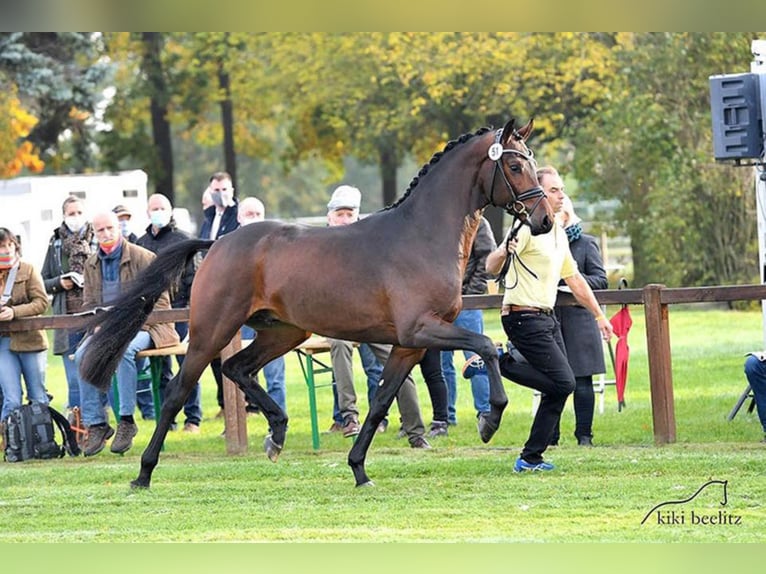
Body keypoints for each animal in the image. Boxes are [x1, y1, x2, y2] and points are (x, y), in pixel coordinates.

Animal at [81, 119, 556, 488]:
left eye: (533, 162)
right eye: (515, 164)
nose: (545, 220)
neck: (423, 235)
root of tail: (216, 243)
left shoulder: (409, 344)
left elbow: (382, 400)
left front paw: (359, 469)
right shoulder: (421, 328)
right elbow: (487, 346)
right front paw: (489, 422)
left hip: (285, 332)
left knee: (238, 368)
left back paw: (276, 434)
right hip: (211, 332)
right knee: (180, 391)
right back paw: (143, 473)